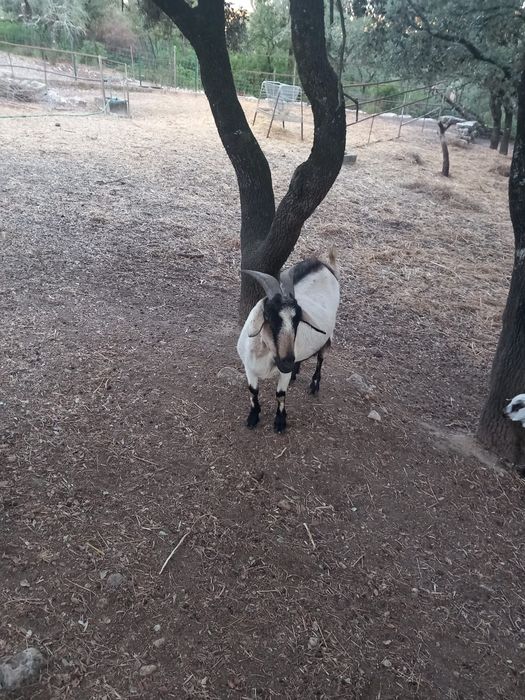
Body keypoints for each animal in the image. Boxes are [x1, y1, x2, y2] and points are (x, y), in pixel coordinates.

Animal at [236, 251, 340, 433]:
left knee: (320, 358)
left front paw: (280, 422)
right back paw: (295, 372)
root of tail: (321, 264)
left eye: (298, 320)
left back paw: (314, 385)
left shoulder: (282, 373)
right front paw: (253, 417)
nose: (286, 363)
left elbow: (280, 395)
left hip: (328, 335)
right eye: (269, 316)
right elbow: (253, 391)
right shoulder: (249, 367)